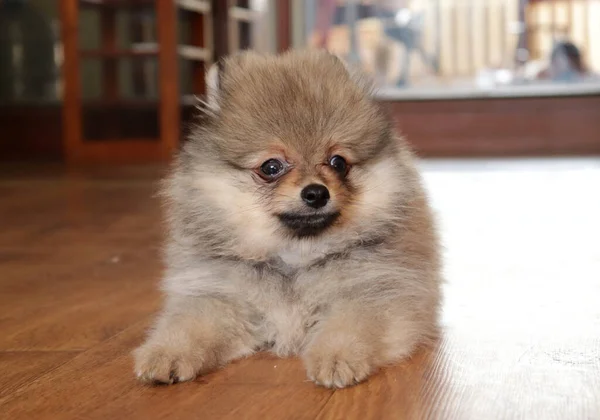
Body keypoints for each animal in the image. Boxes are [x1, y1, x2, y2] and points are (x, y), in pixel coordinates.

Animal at [135, 48, 440, 388]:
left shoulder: (373, 292)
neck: (294, 257)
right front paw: (166, 354)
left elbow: (351, 325)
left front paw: (337, 357)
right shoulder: (219, 295)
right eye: (271, 167)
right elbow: (191, 324)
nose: (316, 193)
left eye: (338, 162)